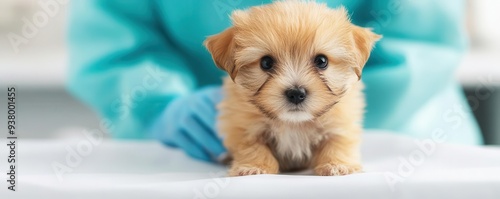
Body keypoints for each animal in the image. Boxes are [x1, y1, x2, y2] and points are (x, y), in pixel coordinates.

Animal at [203, 1, 378, 176]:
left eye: (322, 61)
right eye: (266, 63)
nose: (296, 94)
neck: (294, 123)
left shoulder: (340, 122)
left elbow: (337, 142)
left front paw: (337, 164)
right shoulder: (244, 126)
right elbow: (253, 147)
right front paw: (254, 167)